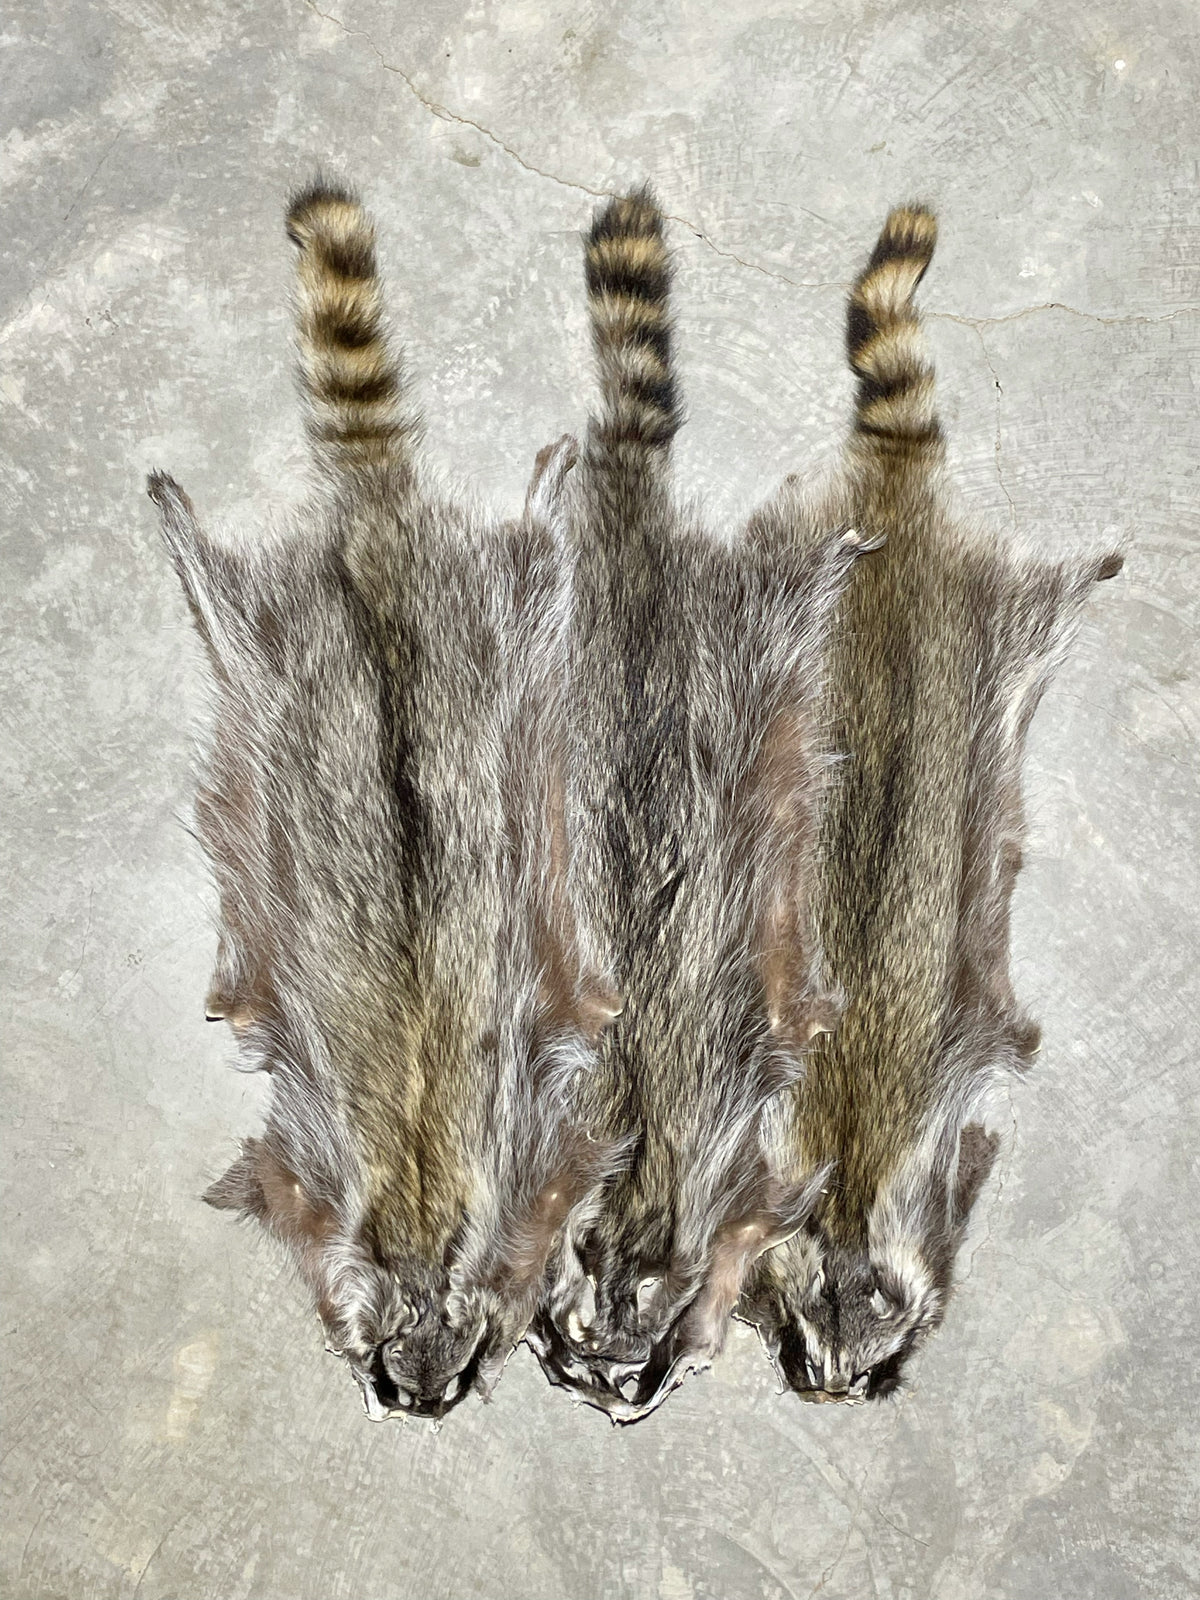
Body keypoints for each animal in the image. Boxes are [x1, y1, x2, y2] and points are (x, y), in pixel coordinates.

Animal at [151, 182, 622, 1421]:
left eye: (450, 1373)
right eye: (389, 1370)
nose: (415, 1400)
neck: (415, 1213)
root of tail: (377, 544)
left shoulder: (531, 1136)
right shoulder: (318, 1146)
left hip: (479, 636)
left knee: (534, 563)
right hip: (303, 653)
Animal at [526, 191, 866, 1421]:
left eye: (627, 1372)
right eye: (570, 1363)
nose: (612, 1405)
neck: (634, 1197)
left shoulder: (734, 1145)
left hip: (737, 650)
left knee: (785, 599)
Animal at [737, 206, 1123, 1402]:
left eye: (874, 1353)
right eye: (802, 1339)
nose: (830, 1394)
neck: (854, 1186)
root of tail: (894, 521)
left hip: (994, 620)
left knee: (1046, 599)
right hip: (823, 564)